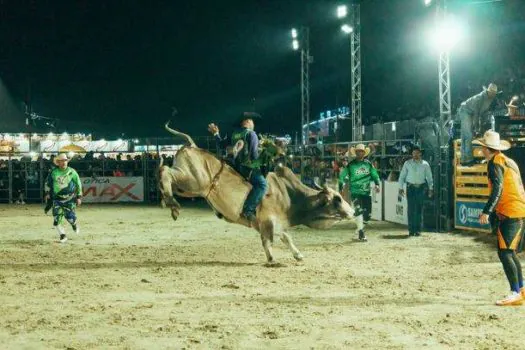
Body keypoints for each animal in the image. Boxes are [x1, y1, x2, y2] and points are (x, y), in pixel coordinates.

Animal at [157, 122, 352, 262]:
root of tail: (192, 146)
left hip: (187, 187)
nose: (352, 211)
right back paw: (172, 204)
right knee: (166, 172)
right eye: (337, 199)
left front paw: (296, 255)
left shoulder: (269, 223)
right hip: (192, 180)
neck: (288, 194)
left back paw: (168, 201)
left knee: (164, 175)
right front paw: (272, 259)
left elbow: (284, 238)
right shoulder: (269, 220)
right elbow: (271, 239)